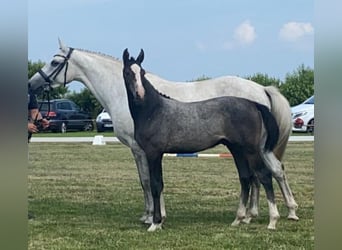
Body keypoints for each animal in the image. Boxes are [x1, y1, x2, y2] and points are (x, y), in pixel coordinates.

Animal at [121, 47, 284, 231]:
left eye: (142, 72)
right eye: (128, 72)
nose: (139, 94)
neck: (153, 111)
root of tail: (254, 104)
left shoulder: (153, 153)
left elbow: (155, 185)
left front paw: (155, 223)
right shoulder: (155, 154)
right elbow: (159, 184)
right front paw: (160, 221)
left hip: (251, 150)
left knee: (264, 176)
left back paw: (272, 220)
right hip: (237, 149)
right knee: (245, 178)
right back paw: (238, 218)